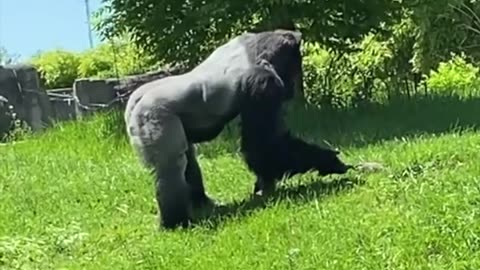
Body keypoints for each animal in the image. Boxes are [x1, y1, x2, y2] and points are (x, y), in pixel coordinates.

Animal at [124, 29, 352, 229]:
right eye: (294, 66)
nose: (290, 89)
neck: (258, 49)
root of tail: (133, 102)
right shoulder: (263, 82)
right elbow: (265, 145)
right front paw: (327, 160)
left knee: (187, 159)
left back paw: (201, 204)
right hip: (153, 115)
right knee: (171, 166)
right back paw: (176, 222)